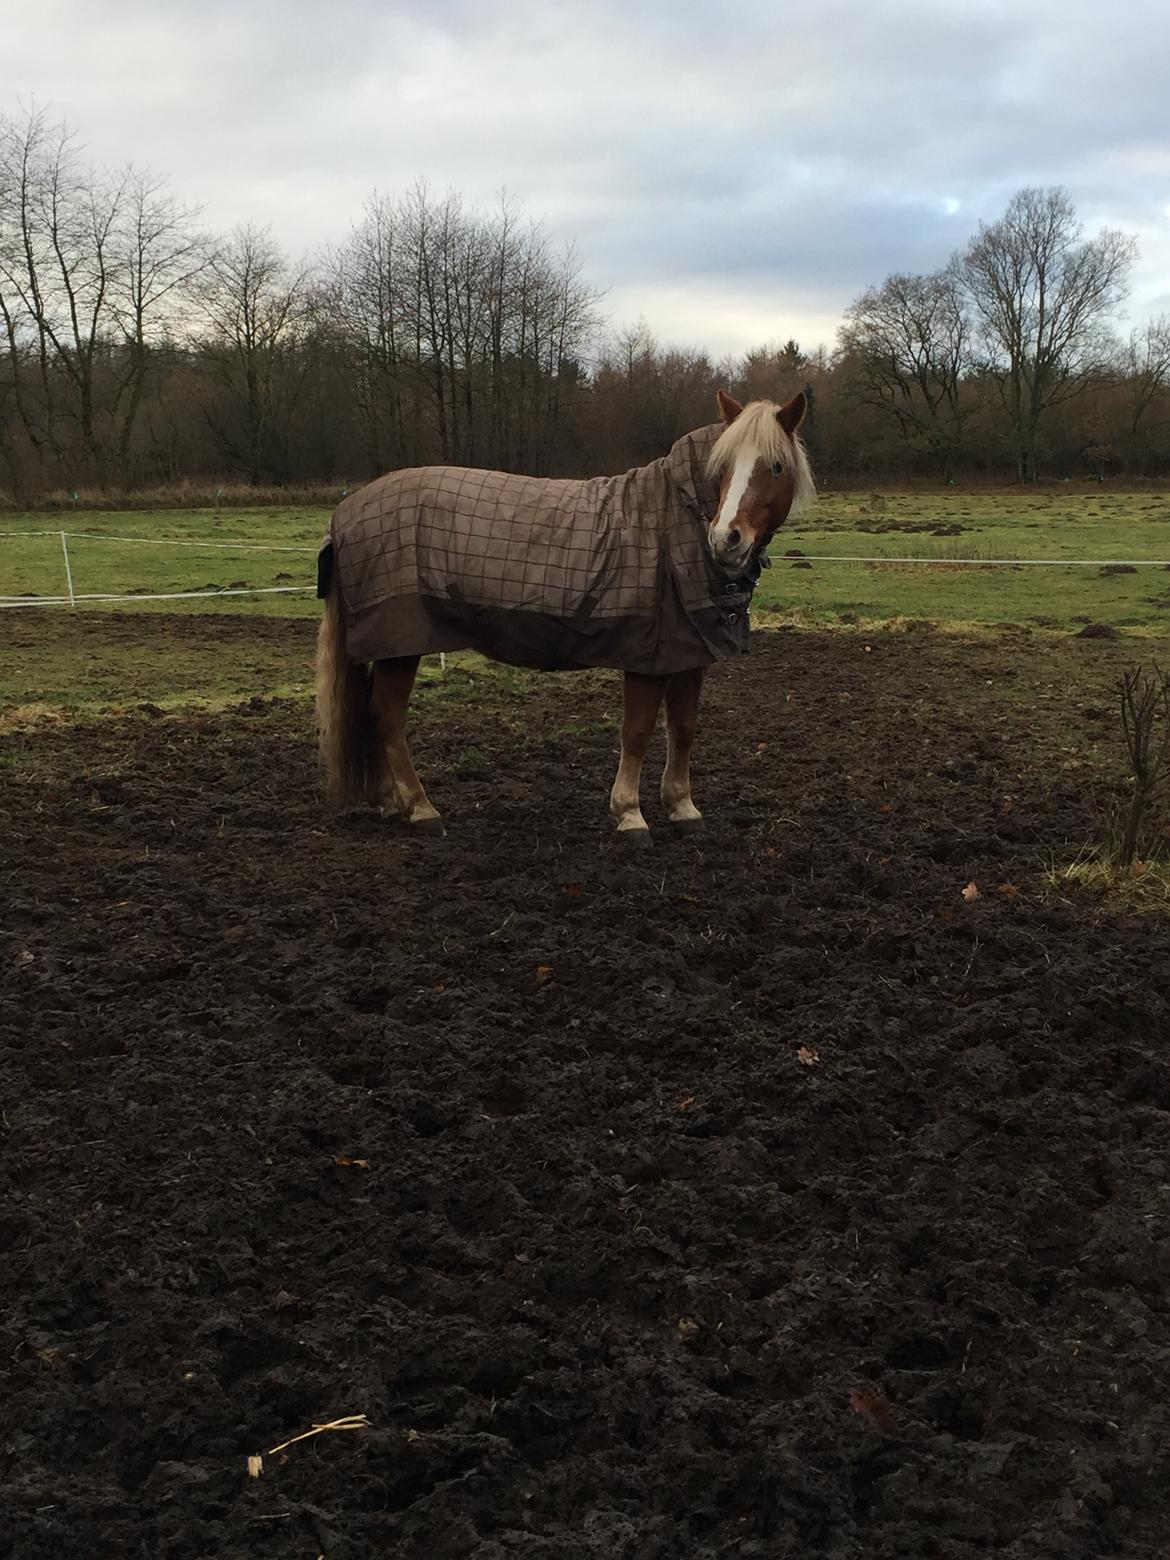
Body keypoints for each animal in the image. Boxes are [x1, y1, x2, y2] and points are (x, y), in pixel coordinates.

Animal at [318, 390, 817, 842]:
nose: (725, 539)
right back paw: (421, 808)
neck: (670, 522)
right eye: (723, 468)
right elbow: (637, 732)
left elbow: (683, 729)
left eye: (775, 467)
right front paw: (630, 815)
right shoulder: (647, 658)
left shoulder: (689, 653)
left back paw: (390, 802)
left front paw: (683, 808)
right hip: (400, 646)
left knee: (374, 714)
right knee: (387, 716)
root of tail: (345, 513)